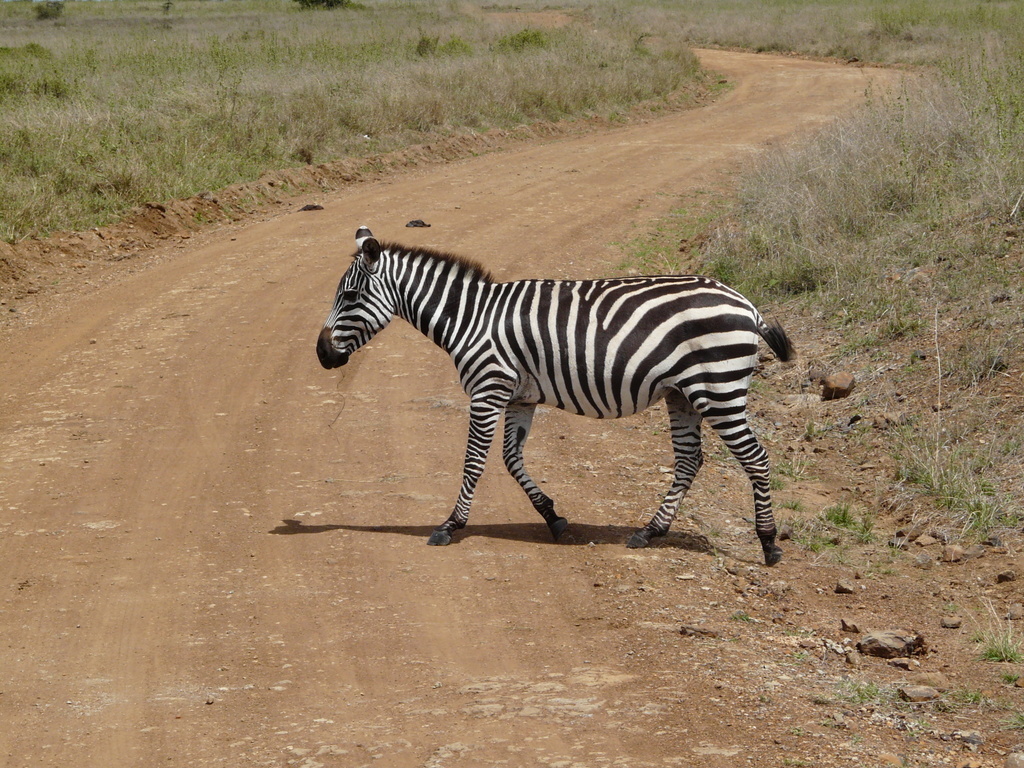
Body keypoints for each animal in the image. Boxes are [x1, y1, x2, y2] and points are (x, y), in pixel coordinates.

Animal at [315, 225, 794, 569]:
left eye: (350, 296)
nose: (321, 355)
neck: (470, 319)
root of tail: (747, 305)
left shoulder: (488, 389)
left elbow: (474, 462)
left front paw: (450, 525)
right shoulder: (519, 398)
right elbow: (511, 459)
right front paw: (553, 517)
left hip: (718, 388)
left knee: (756, 458)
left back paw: (768, 543)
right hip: (682, 394)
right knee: (690, 460)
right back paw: (649, 532)